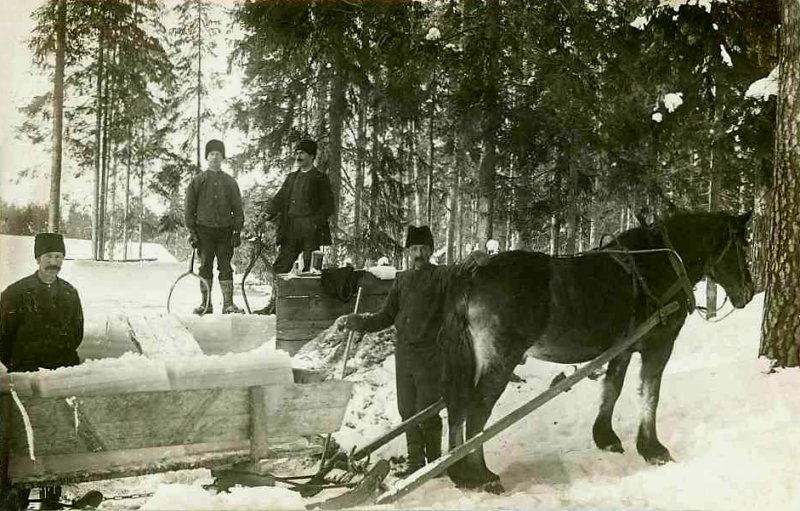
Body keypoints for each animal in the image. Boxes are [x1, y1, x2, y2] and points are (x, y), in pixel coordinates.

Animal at [440, 211, 752, 492]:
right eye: (743, 246)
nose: (748, 292)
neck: (662, 265)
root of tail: (473, 272)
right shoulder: (659, 345)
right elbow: (650, 393)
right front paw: (653, 448)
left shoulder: (622, 348)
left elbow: (613, 387)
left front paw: (606, 437)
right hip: (500, 360)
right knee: (477, 410)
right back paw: (480, 475)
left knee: (457, 409)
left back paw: (459, 473)